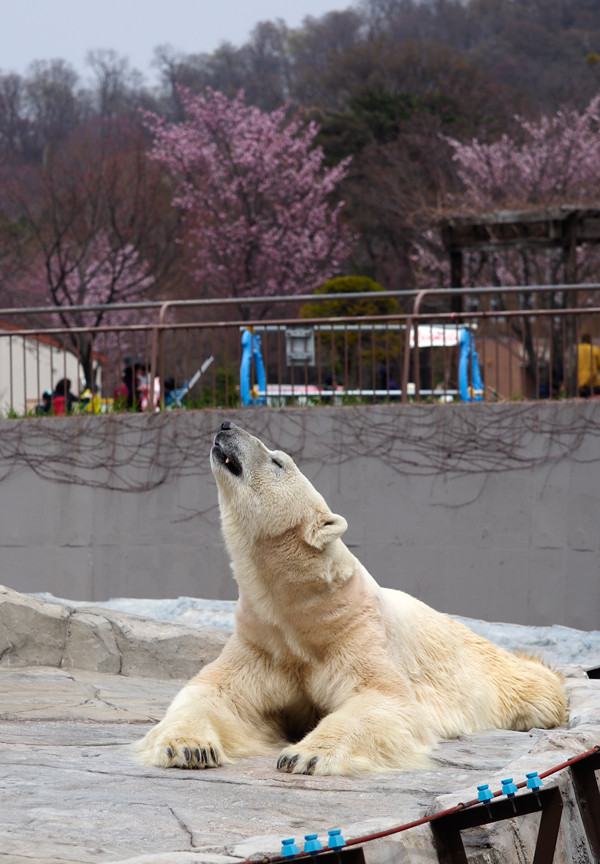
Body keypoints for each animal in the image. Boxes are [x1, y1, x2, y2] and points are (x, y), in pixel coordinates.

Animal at [134, 420, 568, 776]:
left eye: (277, 461)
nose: (226, 425)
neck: (302, 612)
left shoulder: (354, 631)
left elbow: (380, 699)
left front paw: (304, 755)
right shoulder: (263, 640)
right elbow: (214, 693)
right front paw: (189, 748)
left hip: (490, 670)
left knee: (533, 687)